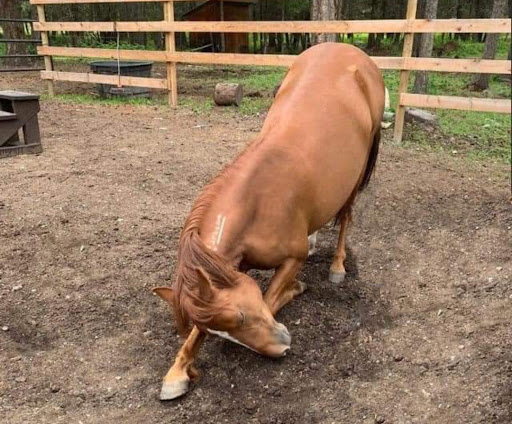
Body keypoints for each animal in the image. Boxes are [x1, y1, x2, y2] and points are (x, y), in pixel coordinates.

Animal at [153, 42, 385, 400]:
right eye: (224, 325)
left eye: (241, 317)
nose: (282, 347)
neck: (257, 202)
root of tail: (349, 51)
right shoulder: (229, 271)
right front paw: (177, 372)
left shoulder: (291, 258)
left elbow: (271, 298)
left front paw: (297, 288)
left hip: (356, 175)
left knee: (346, 216)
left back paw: (337, 266)